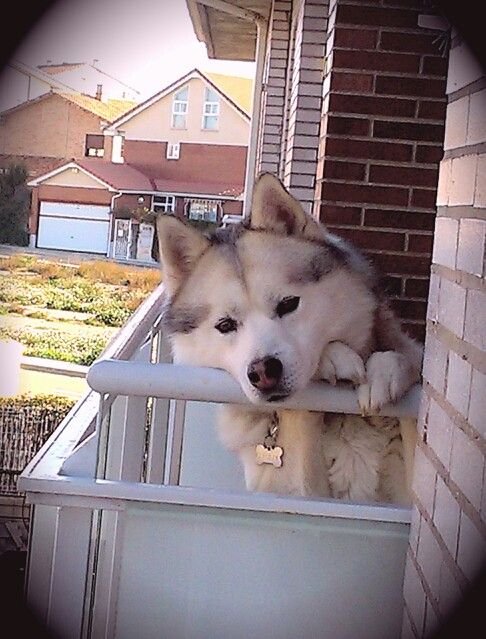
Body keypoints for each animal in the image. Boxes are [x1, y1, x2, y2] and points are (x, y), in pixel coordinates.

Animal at [157, 174, 422, 504]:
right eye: (225, 324)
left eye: (288, 304)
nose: (262, 372)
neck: (340, 418)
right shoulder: (291, 492)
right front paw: (331, 359)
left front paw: (385, 371)